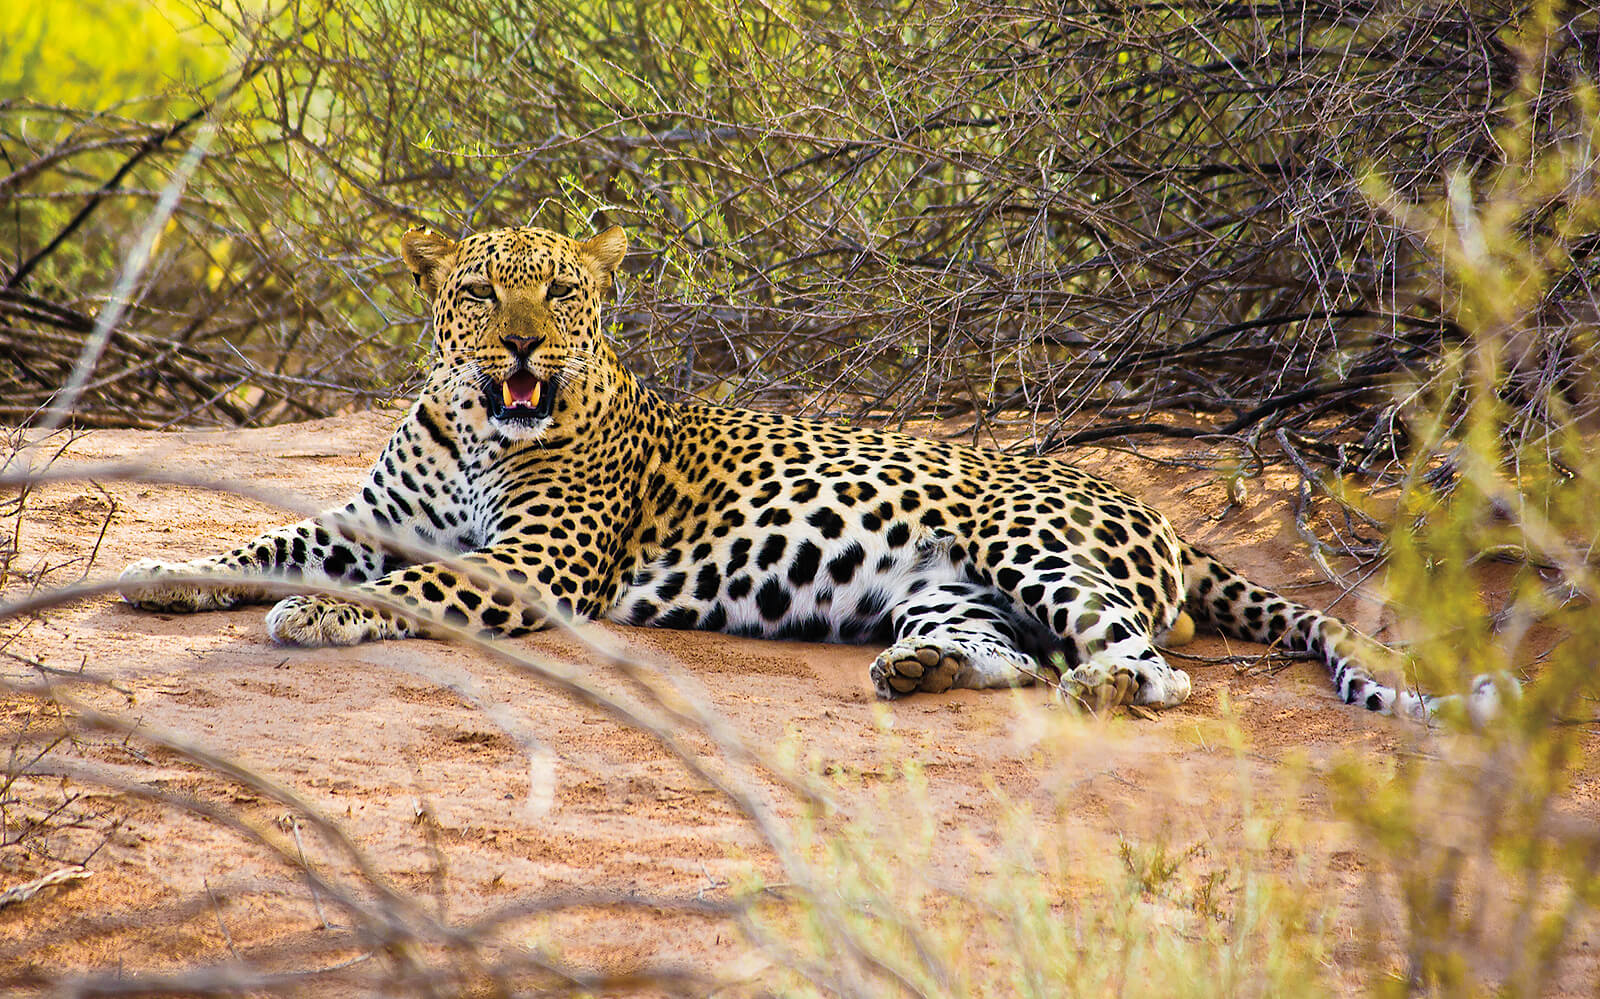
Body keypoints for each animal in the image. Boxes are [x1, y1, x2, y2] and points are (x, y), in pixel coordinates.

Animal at [121, 220, 1497, 717]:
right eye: (479, 290)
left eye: (558, 291)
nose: (518, 343)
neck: (477, 427)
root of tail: (1150, 507)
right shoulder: (374, 515)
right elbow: (270, 542)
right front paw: (159, 571)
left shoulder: (534, 564)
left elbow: (402, 588)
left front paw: (314, 616)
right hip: (947, 586)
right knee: (1008, 655)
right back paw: (922, 672)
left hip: (1033, 546)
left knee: (1155, 669)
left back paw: (1104, 691)